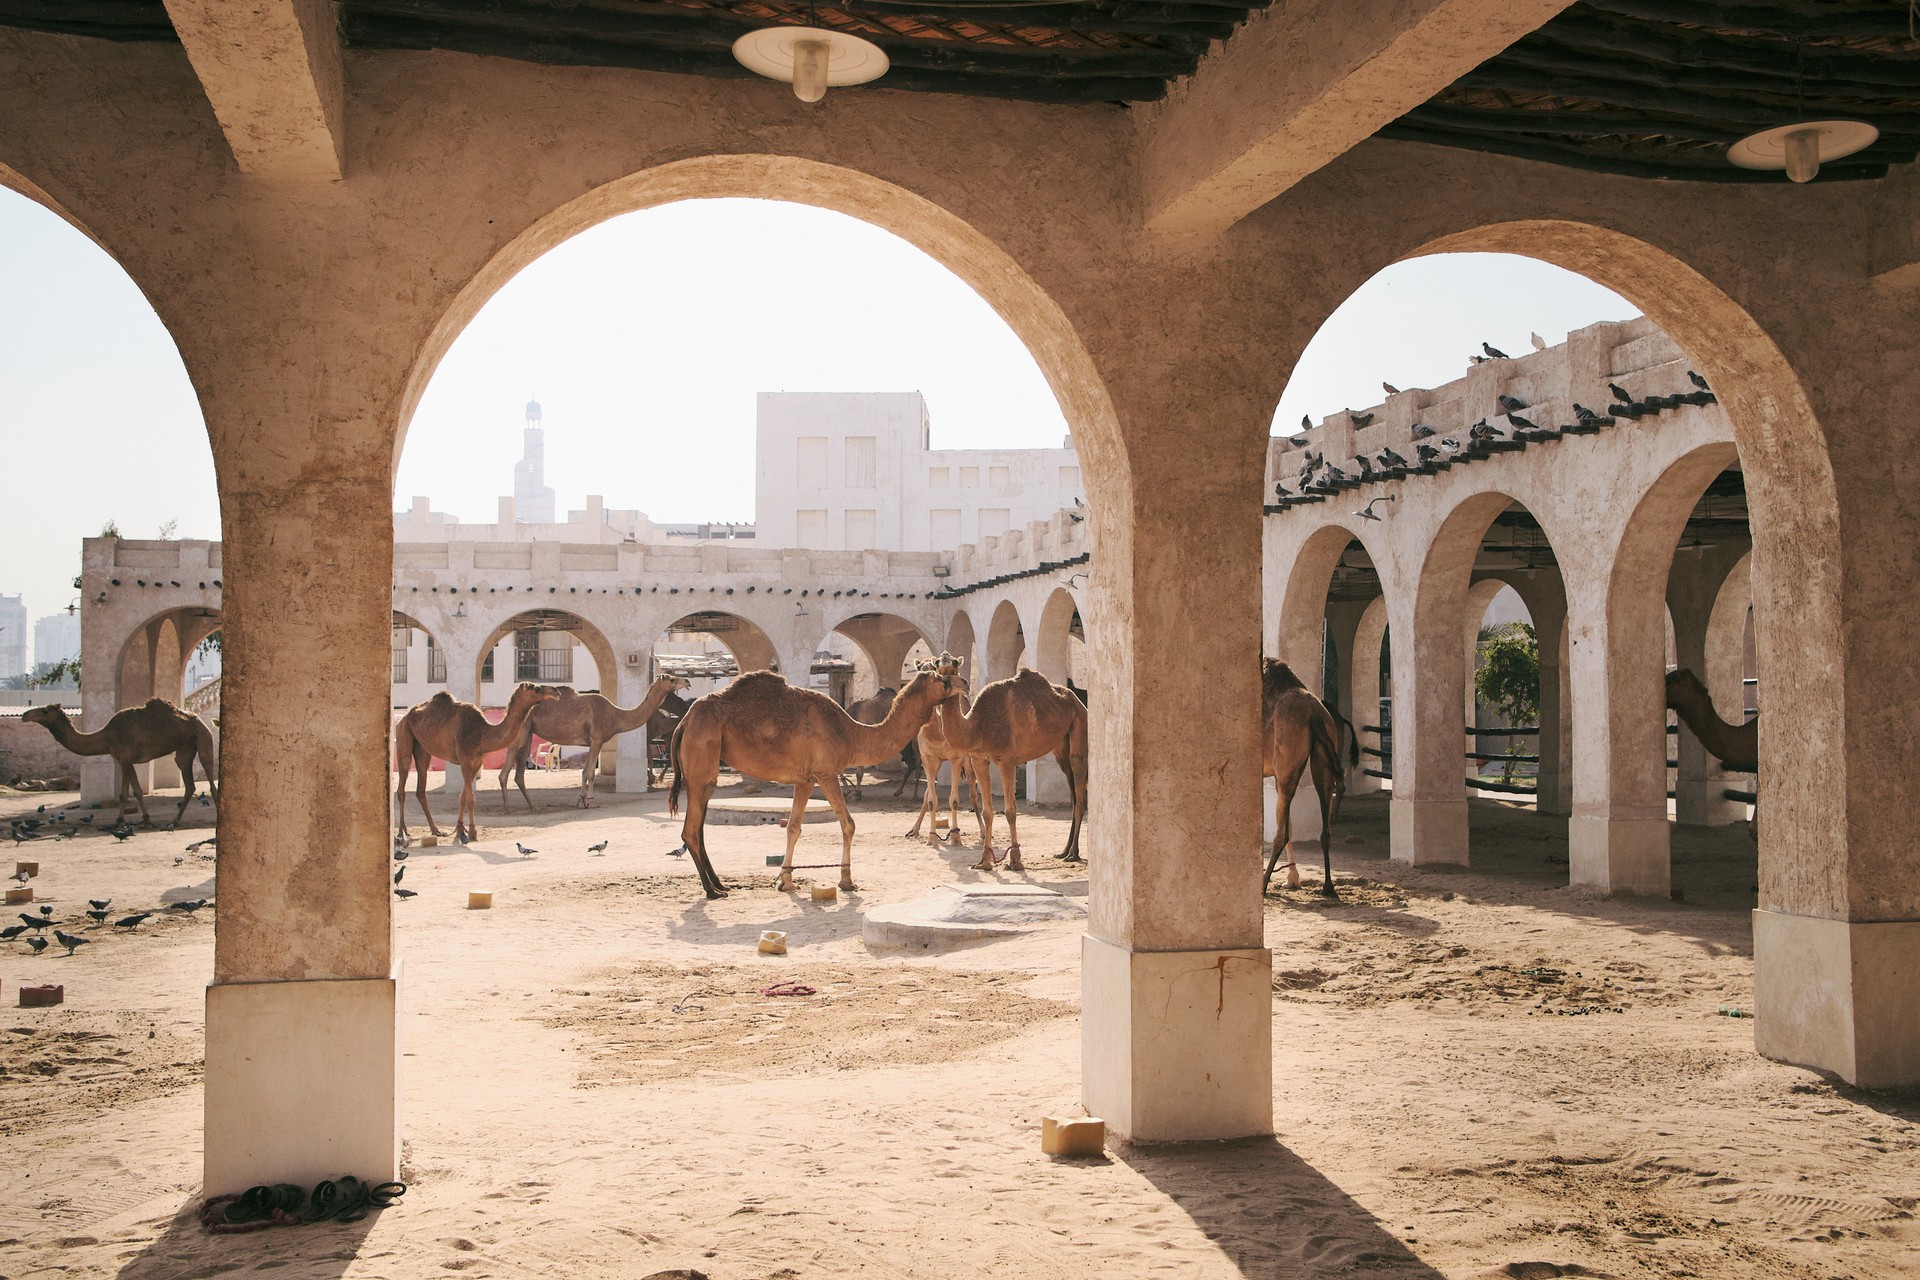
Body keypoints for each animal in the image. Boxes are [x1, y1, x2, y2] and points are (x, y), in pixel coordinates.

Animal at [397, 679, 560, 852]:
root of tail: (404, 716)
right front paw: (473, 833)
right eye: (536, 688)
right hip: (403, 733)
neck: (482, 734)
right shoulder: (465, 761)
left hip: (422, 748)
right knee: (402, 784)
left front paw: (460, 830)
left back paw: (436, 830)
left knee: (421, 786)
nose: (556, 691)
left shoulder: (476, 762)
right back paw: (401, 832)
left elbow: (463, 796)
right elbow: (470, 798)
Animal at [499, 671, 695, 809]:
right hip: (522, 730)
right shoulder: (598, 739)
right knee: (508, 764)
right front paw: (591, 801)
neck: (616, 715)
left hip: (529, 733)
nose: (687, 682)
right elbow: (589, 773)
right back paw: (508, 807)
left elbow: (585, 771)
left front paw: (581, 800)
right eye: (671, 679)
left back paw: (531, 805)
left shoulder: (593, 742)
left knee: (519, 771)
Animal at [933, 671, 1090, 871]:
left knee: (1080, 793)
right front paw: (984, 861)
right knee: (1074, 793)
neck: (978, 725)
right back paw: (1064, 851)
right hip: (1062, 746)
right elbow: (987, 812)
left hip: (1079, 727)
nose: (965, 685)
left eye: (946, 678)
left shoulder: (1006, 761)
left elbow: (1010, 811)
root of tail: (1080, 703)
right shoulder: (979, 760)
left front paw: (1015, 860)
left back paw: (1073, 854)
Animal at [1267, 660, 1359, 901]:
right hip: (1321, 758)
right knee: (1325, 820)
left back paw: (1262, 884)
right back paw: (1328, 887)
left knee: (1281, 832)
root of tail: (1314, 714)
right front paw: (1292, 880)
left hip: (1288, 763)